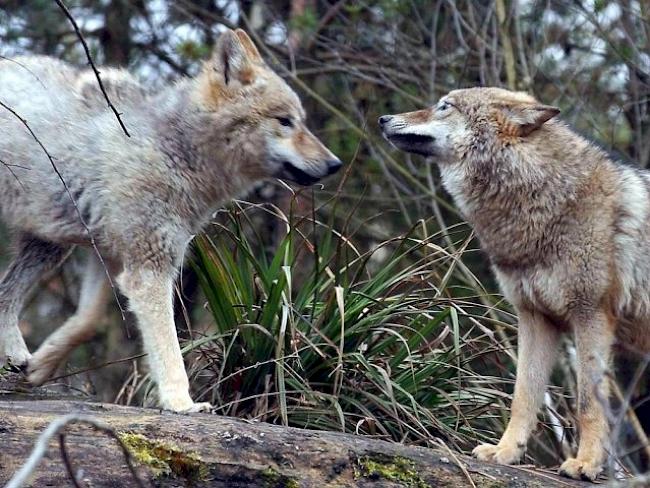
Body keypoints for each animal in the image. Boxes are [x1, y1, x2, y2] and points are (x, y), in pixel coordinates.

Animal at [0, 27, 342, 412]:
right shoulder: (149, 269)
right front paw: (182, 404)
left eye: (301, 121)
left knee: (4, 295)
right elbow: (169, 350)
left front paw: (42, 365)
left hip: (49, 247)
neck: (174, 150)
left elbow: (89, 321)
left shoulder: (113, 257)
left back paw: (17, 356)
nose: (335, 164)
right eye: (284, 121)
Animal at [374, 86, 648, 480]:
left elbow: (586, 403)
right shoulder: (534, 318)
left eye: (444, 106)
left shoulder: (592, 316)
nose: (382, 119)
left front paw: (586, 464)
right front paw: (505, 453)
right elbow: (523, 396)